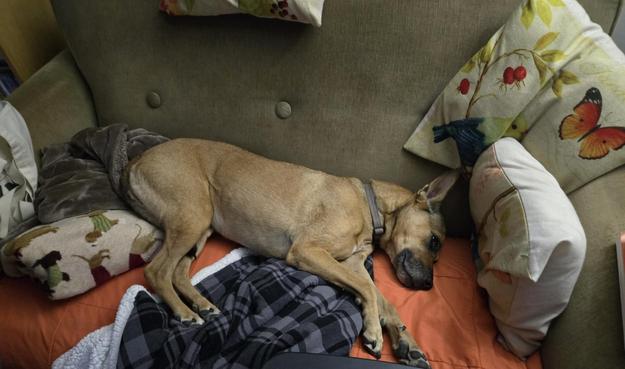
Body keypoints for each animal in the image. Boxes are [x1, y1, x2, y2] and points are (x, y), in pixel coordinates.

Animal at [123, 139, 458, 368]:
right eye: (434, 242)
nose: (428, 285)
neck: (369, 204)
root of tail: (137, 159)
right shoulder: (307, 251)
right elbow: (368, 291)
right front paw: (374, 331)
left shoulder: (353, 264)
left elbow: (381, 298)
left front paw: (404, 340)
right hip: (193, 215)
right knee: (157, 271)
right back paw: (185, 313)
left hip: (201, 227)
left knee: (178, 272)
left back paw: (202, 305)